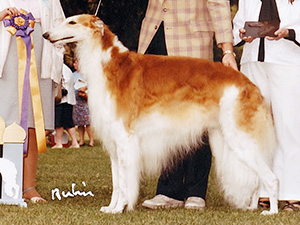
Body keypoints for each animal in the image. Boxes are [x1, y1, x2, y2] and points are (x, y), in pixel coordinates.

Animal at [43, 14, 278, 214]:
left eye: (72, 22)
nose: (45, 34)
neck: (109, 63)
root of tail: (249, 84)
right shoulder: (114, 143)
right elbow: (117, 183)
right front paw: (110, 208)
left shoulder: (125, 139)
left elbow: (125, 183)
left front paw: (119, 208)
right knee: (259, 178)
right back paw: (252, 208)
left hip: (239, 137)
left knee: (271, 178)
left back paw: (271, 211)